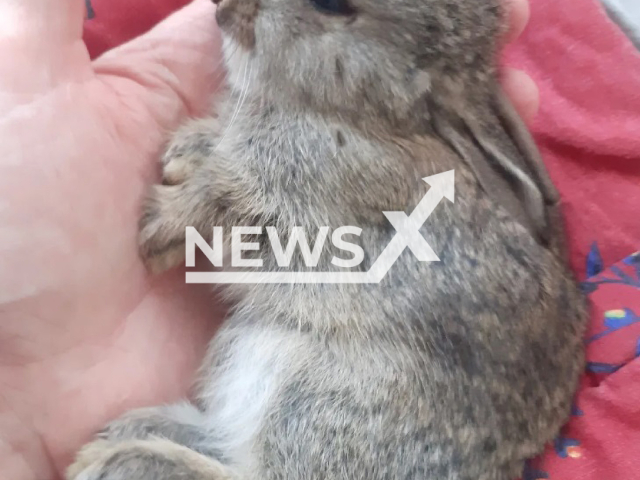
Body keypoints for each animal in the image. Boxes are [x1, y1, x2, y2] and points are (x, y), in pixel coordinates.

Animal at [67, 0, 588, 480]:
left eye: (332, 5)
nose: (224, 9)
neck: (353, 113)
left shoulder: (278, 195)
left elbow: (214, 205)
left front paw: (154, 230)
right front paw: (181, 154)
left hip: (319, 403)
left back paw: (114, 460)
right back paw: (125, 434)